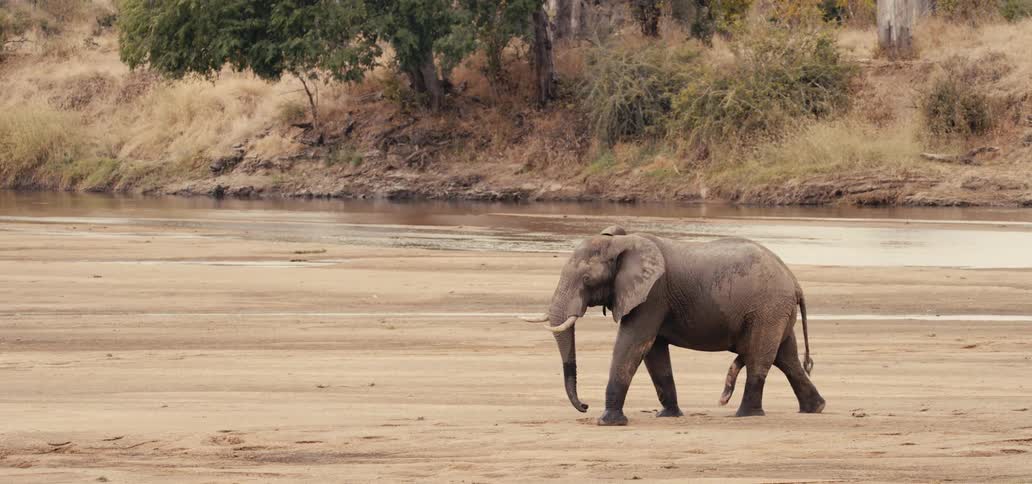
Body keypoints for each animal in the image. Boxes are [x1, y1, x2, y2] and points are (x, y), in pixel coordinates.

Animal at [523, 226, 825, 425]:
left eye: (586, 279)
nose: (584, 405)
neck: (621, 242)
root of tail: (794, 281)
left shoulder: (653, 294)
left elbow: (633, 343)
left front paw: (607, 422)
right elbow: (654, 352)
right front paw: (668, 415)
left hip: (767, 309)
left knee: (761, 358)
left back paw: (745, 414)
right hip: (775, 311)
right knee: (786, 358)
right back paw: (814, 408)